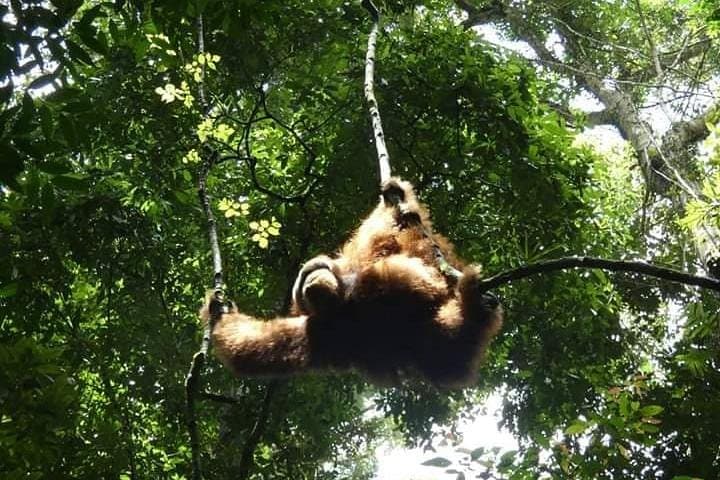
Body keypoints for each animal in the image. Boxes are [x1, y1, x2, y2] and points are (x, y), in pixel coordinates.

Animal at [202, 178, 503, 388]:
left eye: (309, 275)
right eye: (302, 286)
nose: (309, 283)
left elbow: (377, 242)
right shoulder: (319, 330)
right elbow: (255, 349)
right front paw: (218, 313)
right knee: (450, 346)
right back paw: (473, 303)